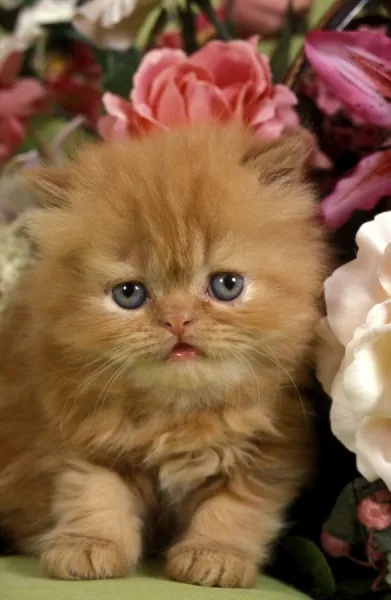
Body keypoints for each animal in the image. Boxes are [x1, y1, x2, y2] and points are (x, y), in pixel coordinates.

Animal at [0, 123, 326, 584]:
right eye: (129, 294)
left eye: (227, 285)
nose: (177, 320)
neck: (177, 416)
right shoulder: (75, 438)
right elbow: (94, 494)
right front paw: (90, 545)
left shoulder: (270, 452)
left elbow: (235, 509)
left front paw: (215, 555)